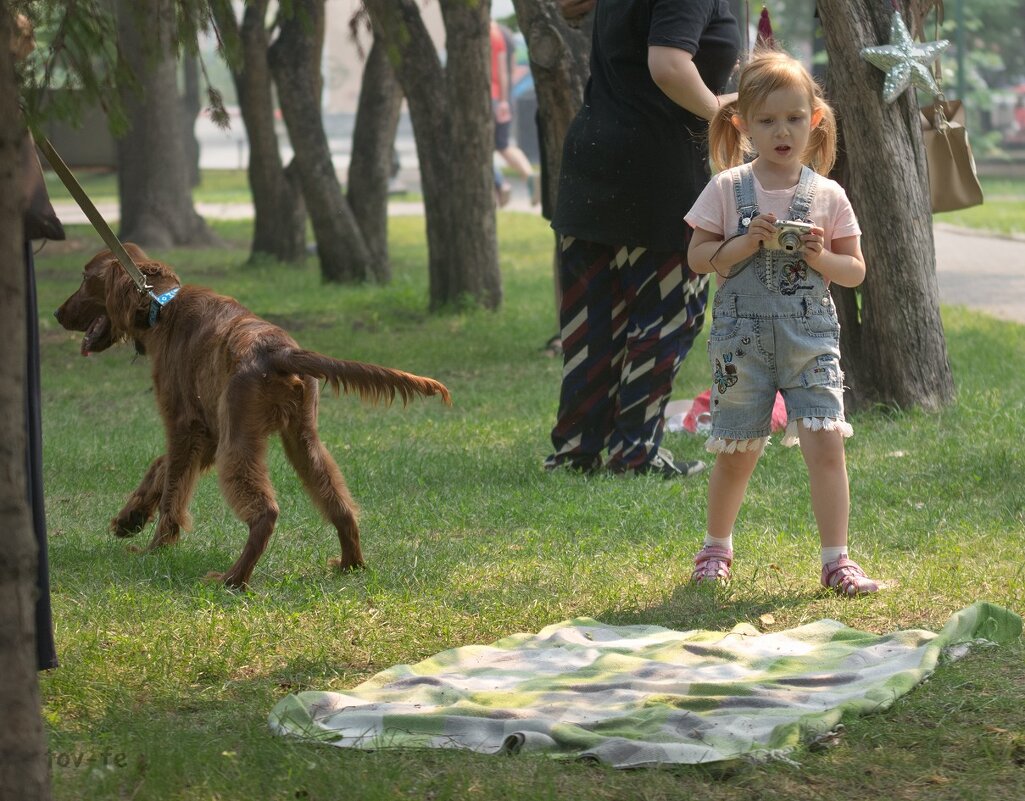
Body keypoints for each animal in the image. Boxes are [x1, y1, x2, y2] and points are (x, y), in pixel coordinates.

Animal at [55, 244, 448, 586]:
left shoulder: (185, 425)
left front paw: (155, 548)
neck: (160, 305)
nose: (58, 314)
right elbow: (161, 468)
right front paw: (130, 519)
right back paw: (350, 564)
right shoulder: (207, 432)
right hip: (301, 439)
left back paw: (232, 579)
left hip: (239, 440)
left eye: (85, 278)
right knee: (339, 504)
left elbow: (173, 491)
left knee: (266, 513)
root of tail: (280, 351)